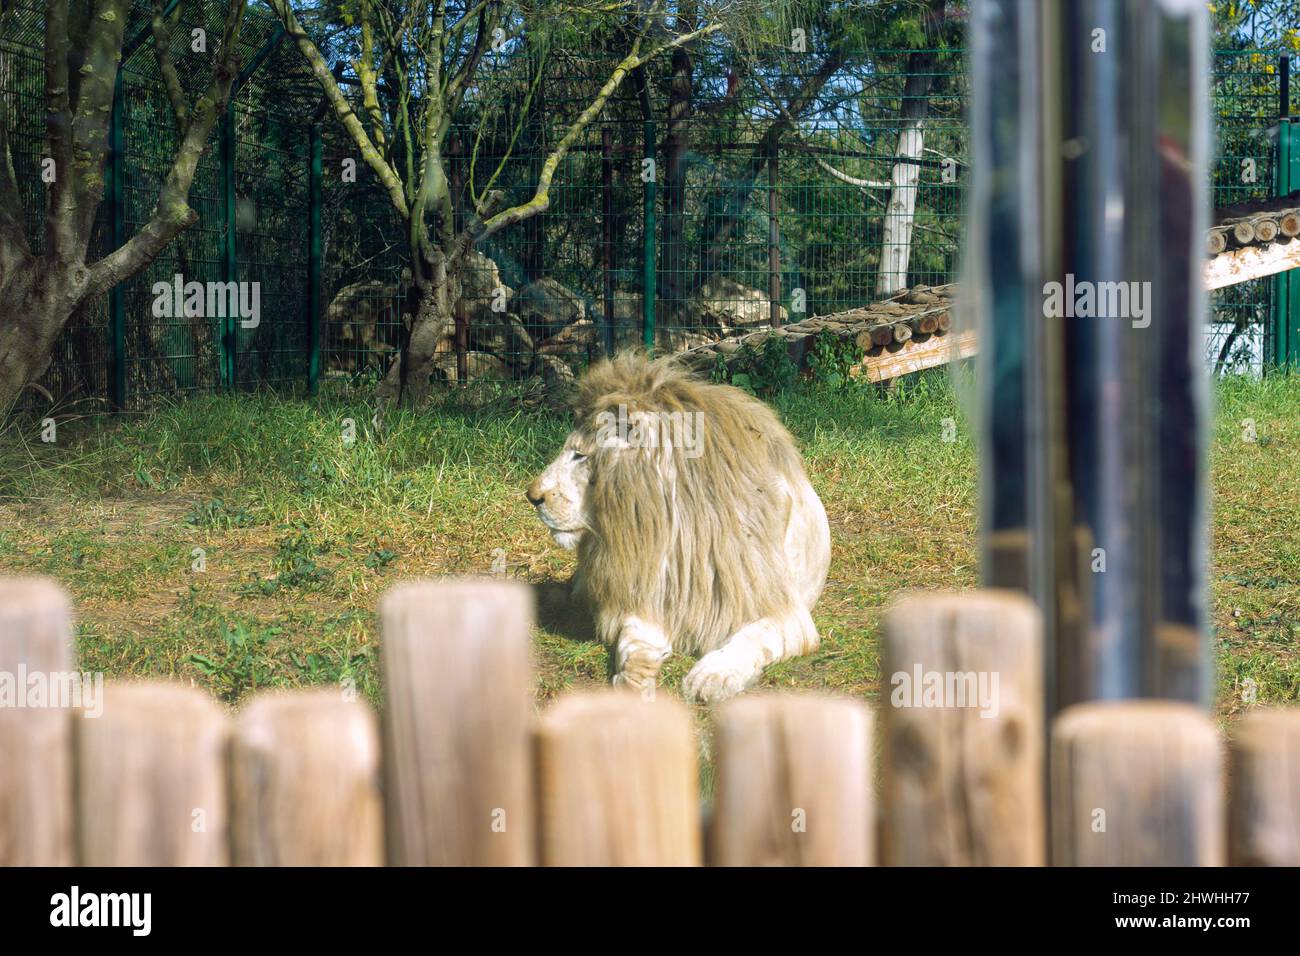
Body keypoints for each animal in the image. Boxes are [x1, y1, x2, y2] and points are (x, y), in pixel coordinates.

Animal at [525, 351, 832, 702]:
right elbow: (632, 642)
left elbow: (753, 637)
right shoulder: (649, 602)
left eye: (579, 455)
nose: (531, 496)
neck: (681, 532)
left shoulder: (788, 614)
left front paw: (712, 675)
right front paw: (634, 682)